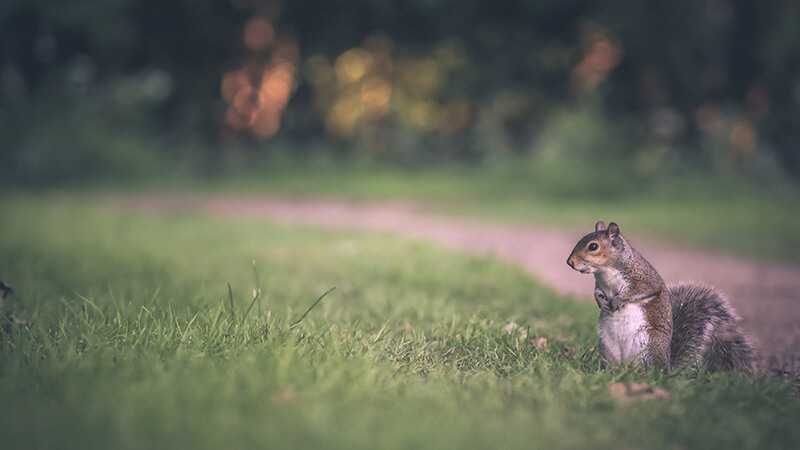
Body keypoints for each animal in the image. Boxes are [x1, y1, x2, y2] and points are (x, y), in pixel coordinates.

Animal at [568, 220, 756, 370]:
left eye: (593, 246)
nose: (569, 262)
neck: (605, 271)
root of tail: (667, 365)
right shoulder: (599, 284)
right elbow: (597, 291)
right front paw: (600, 301)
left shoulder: (645, 280)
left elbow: (640, 291)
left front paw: (618, 300)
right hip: (608, 346)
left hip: (648, 346)